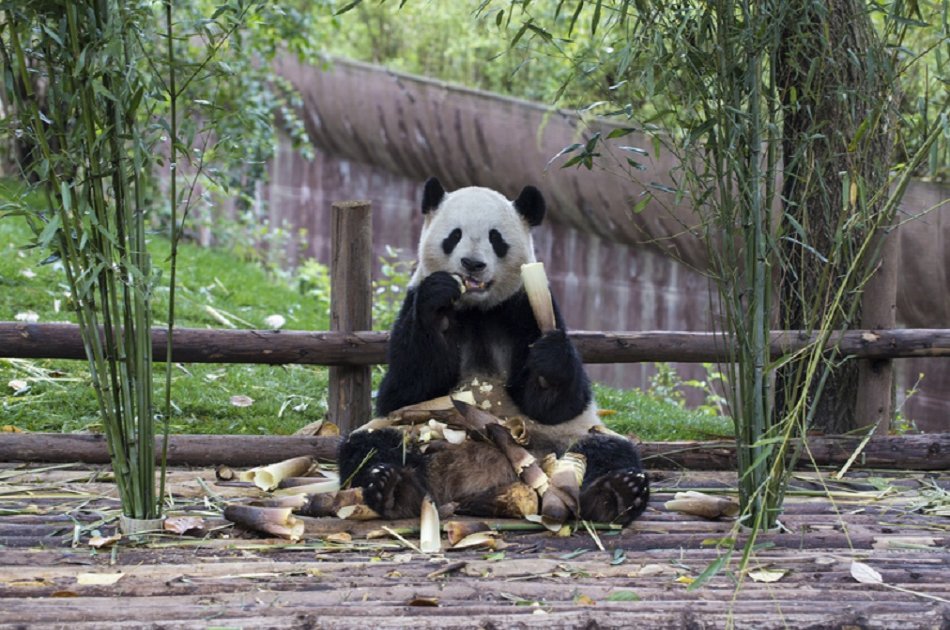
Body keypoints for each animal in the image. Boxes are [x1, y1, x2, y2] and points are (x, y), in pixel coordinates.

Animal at [336, 179, 656, 528]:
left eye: (496, 238)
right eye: (454, 235)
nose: (472, 264)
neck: (478, 309)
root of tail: (478, 474)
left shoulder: (524, 307)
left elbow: (559, 403)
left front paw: (548, 363)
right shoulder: (412, 305)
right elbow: (404, 389)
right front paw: (439, 301)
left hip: (559, 440)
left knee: (607, 448)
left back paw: (616, 494)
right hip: (416, 433)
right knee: (369, 446)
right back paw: (393, 487)